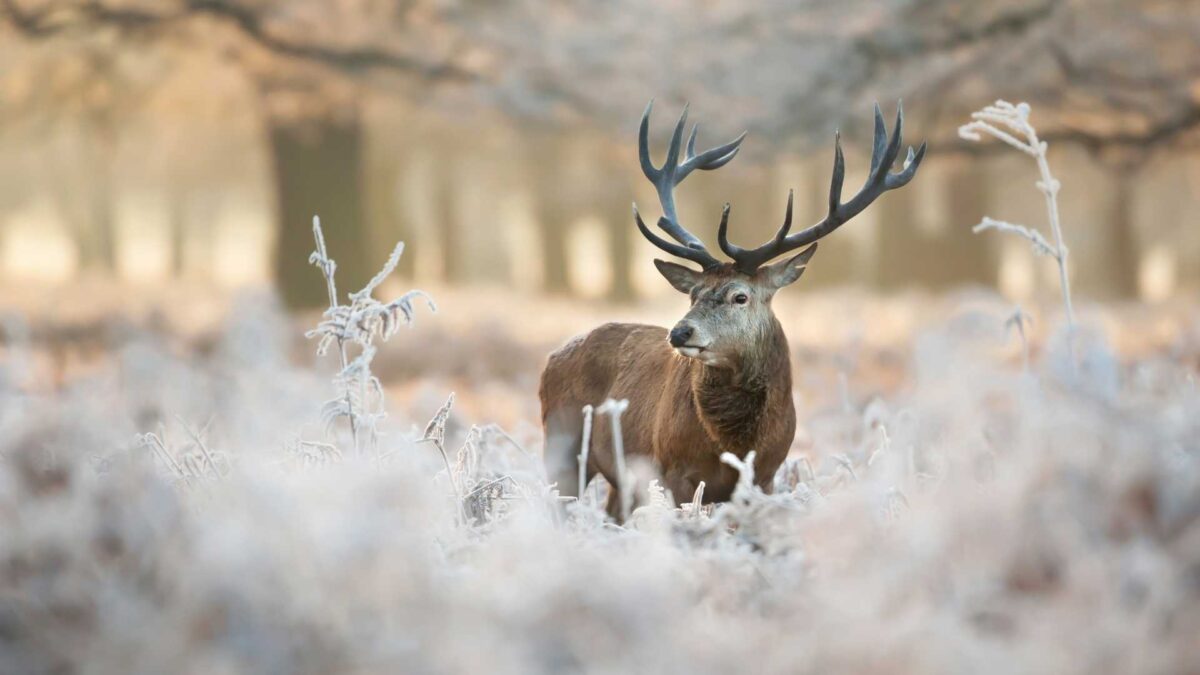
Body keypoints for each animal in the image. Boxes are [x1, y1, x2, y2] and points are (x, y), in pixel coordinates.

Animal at [540, 101, 925, 521]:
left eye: (740, 296)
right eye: (693, 295)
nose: (680, 332)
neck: (735, 444)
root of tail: (551, 358)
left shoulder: (766, 476)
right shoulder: (672, 470)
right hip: (561, 444)